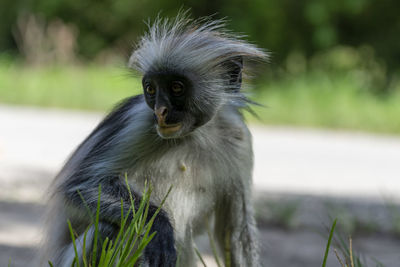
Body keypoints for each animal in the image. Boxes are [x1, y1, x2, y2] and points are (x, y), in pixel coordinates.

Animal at [41, 15, 266, 267]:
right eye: (150, 89)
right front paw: (159, 224)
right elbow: (80, 186)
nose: (160, 111)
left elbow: (235, 233)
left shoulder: (239, 135)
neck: (196, 134)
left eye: (176, 87)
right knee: (109, 226)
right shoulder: (139, 121)